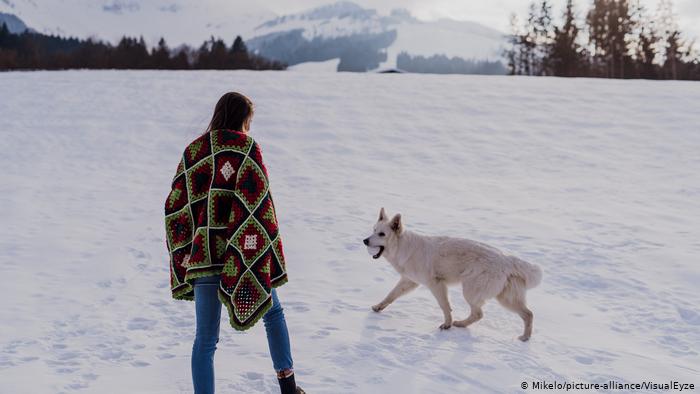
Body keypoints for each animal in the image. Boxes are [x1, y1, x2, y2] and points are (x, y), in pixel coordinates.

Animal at [364, 208, 544, 340]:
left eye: (382, 234)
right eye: (373, 230)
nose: (365, 240)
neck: (403, 247)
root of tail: (506, 258)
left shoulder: (436, 284)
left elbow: (445, 306)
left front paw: (447, 324)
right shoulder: (408, 281)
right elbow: (390, 296)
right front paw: (378, 307)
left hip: (471, 291)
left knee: (480, 313)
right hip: (504, 298)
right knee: (528, 314)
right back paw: (524, 338)